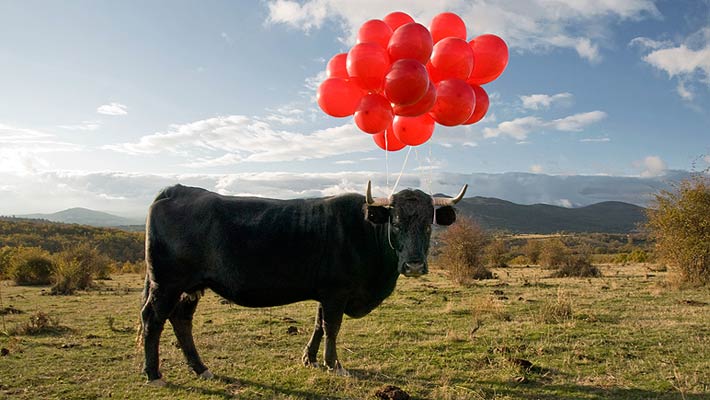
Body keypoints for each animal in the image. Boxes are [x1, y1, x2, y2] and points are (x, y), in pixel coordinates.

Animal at [140, 181, 467, 386]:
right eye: (396, 223)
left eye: (429, 225)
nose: (414, 265)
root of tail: (176, 190)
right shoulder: (337, 291)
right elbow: (332, 327)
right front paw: (334, 365)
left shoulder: (325, 292)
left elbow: (319, 325)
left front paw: (309, 359)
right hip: (166, 284)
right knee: (153, 319)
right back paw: (154, 374)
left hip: (189, 287)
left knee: (181, 321)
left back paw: (201, 369)